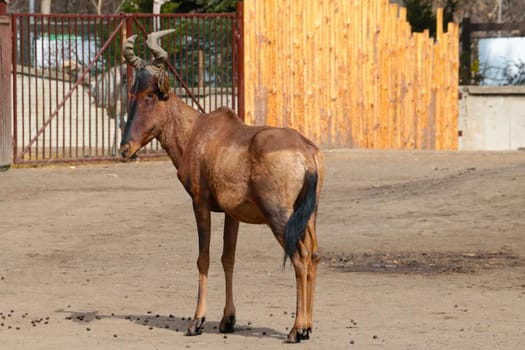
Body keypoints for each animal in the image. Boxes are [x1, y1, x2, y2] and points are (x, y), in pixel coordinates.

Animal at [118, 30, 324, 342]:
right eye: (133, 92)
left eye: (151, 95)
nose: (124, 149)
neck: (199, 132)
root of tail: (306, 152)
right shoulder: (231, 213)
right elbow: (229, 258)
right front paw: (228, 320)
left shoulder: (200, 203)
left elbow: (203, 258)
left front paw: (197, 322)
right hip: (309, 215)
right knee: (313, 255)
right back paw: (308, 327)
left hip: (280, 216)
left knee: (299, 256)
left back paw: (295, 330)